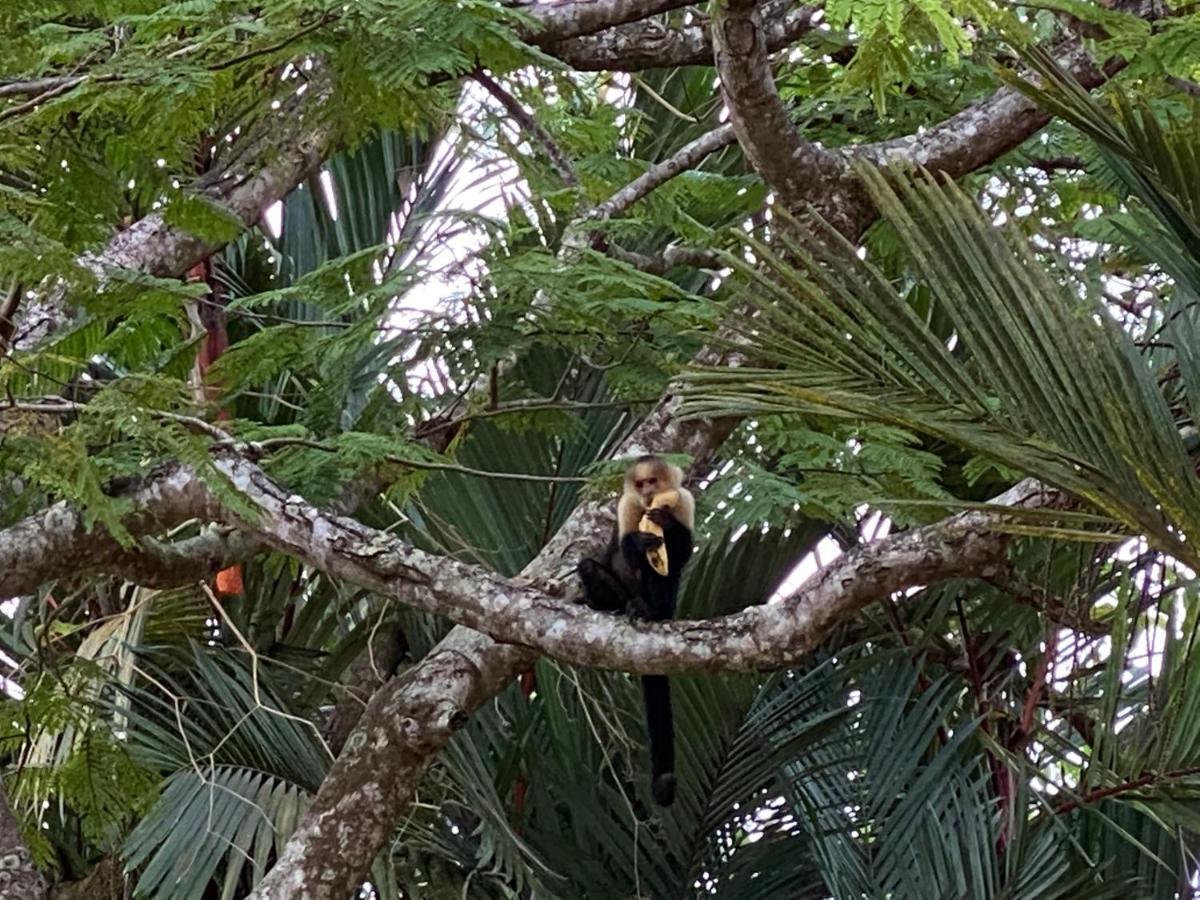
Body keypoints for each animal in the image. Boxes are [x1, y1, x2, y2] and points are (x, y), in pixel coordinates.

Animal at [576, 458, 700, 811]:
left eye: (653, 482)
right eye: (640, 484)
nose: (647, 494)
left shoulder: (684, 500)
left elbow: (681, 550)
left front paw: (666, 523)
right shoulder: (627, 505)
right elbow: (626, 548)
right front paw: (638, 542)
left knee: (661, 573)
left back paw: (650, 610)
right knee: (592, 567)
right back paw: (606, 604)